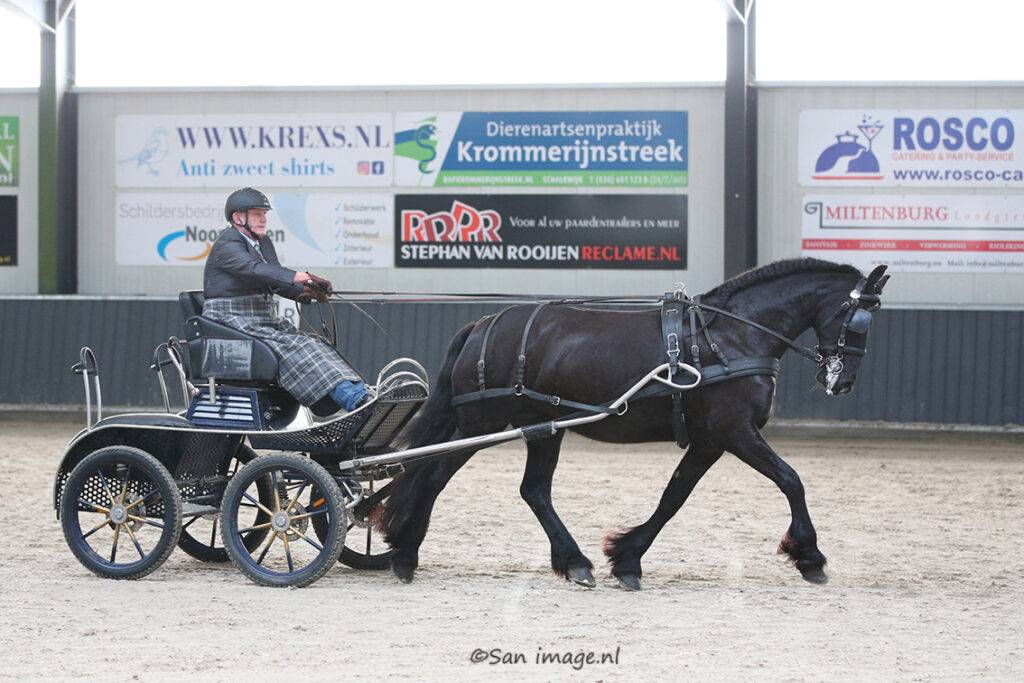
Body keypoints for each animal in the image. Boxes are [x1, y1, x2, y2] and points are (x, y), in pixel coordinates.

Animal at [376, 258, 891, 590]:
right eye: (860, 318)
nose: (841, 381)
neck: (734, 335)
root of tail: (483, 324)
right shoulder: (735, 431)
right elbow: (791, 480)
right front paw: (810, 557)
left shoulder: (709, 440)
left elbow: (673, 497)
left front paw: (626, 558)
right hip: (482, 425)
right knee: (432, 477)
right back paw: (405, 555)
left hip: (543, 428)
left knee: (533, 491)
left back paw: (574, 563)